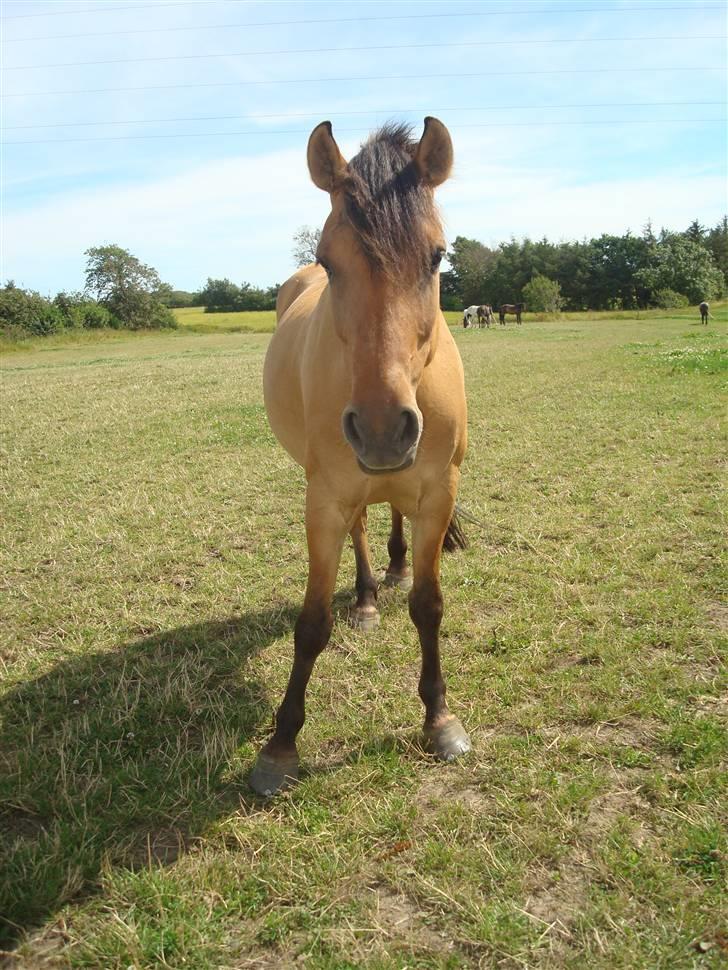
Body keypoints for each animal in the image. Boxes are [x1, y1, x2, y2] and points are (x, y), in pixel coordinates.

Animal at [250, 117, 470, 796]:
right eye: (330, 261)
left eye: (437, 256)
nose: (380, 429)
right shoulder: (324, 498)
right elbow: (311, 622)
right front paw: (280, 746)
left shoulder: (438, 492)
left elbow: (429, 605)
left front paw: (439, 719)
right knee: (362, 529)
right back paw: (370, 595)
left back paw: (392, 572)